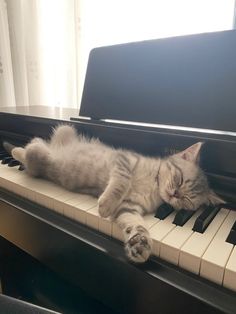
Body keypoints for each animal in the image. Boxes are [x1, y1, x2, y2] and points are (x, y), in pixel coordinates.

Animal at [6, 124, 221, 264]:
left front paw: (140, 243)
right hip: (60, 135)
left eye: (187, 200)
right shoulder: (124, 160)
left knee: (36, 150)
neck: (154, 185)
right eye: (180, 179)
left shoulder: (130, 206)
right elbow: (122, 181)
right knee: (33, 148)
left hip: (43, 159)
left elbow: (135, 223)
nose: (175, 195)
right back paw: (20, 148)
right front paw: (105, 205)